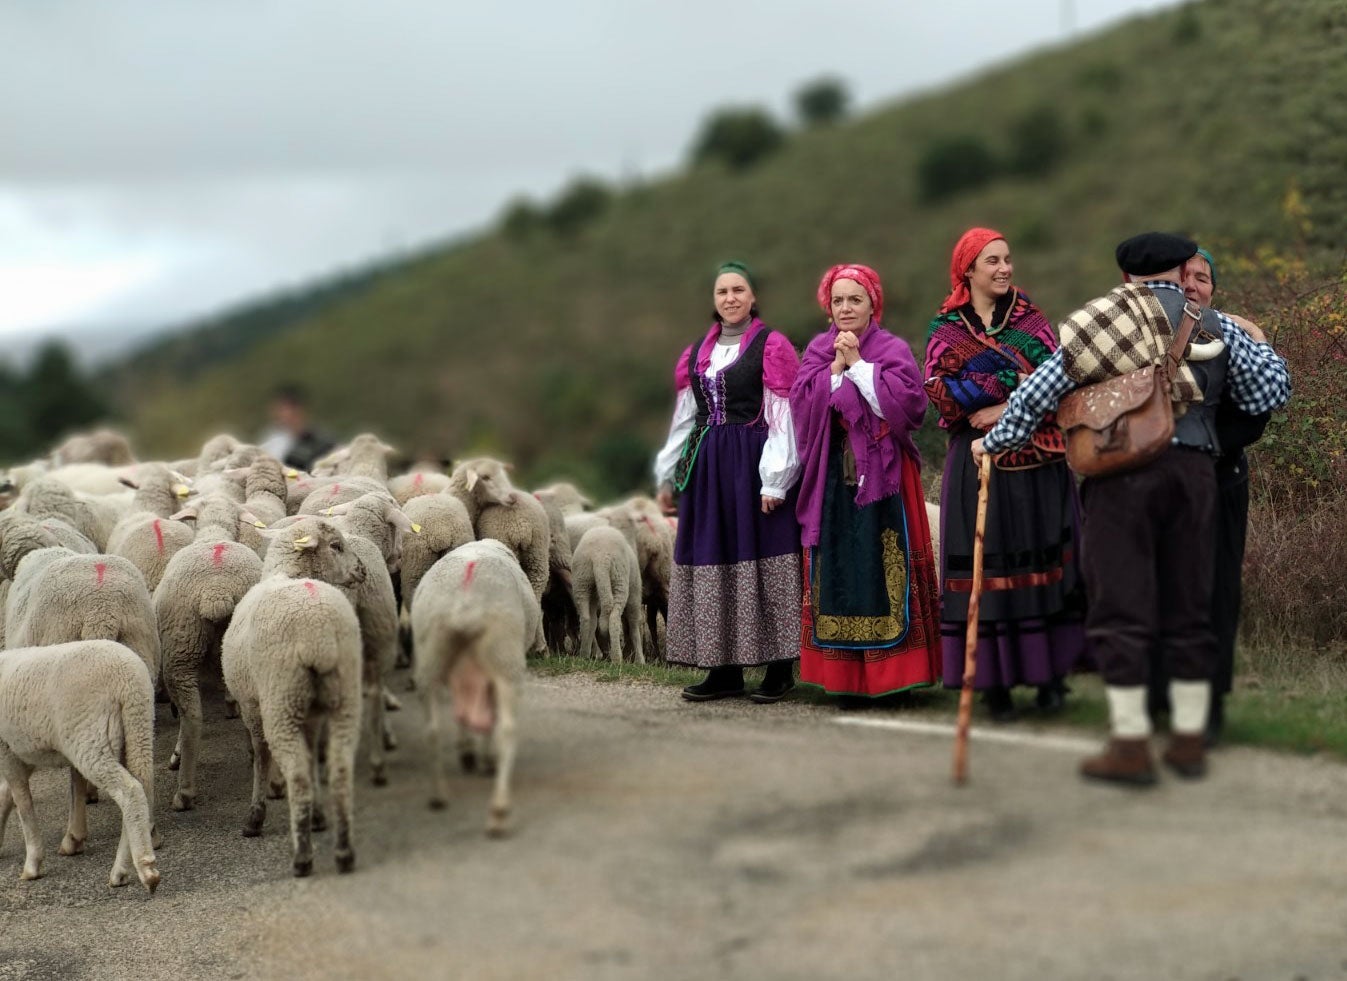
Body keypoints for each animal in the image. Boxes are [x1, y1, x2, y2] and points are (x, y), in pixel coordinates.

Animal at [0, 638, 158, 894]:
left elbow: (23, 803)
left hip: (92, 739)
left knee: (130, 791)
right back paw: (122, 870)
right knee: (144, 789)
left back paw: (145, 870)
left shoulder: (7, 748)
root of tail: (130, 681)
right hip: (138, 729)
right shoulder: (25, 752)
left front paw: (33, 863)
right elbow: (6, 795)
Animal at [154, 493, 265, 808]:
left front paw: (176, 755)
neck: (215, 534)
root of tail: (217, 591)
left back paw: (184, 791)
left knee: (192, 717)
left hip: (181, 646)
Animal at [223, 517, 366, 878]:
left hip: (281, 699)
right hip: (343, 694)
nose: (362, 570)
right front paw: (318, 816)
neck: (287, 572)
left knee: (297, 774)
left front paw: (255, 815)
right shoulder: (311, 714)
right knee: (340, 770)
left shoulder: (251, 706)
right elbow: (312, 754)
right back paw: (344, 851)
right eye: (336, 545)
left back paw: (302, 856)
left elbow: (260, 756)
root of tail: (320, 637)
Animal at [409, 536, 536, 835]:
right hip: (505, 655)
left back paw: (438, 795)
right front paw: (483, 757)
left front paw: (467, 750)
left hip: (431, 654)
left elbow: (464, 717)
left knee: (431, 730)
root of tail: (466, 599)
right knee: (506, 731)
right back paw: (499, 809)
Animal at [571, 528, 643, 665]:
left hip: (582, 581)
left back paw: (584, 654)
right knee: (615, 619)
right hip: (620, 580)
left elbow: (593, 620)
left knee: (587, 618)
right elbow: (634, 628)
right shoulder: (635, 596)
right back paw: (617, 658)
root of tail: (600, 556)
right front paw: (640, 660)